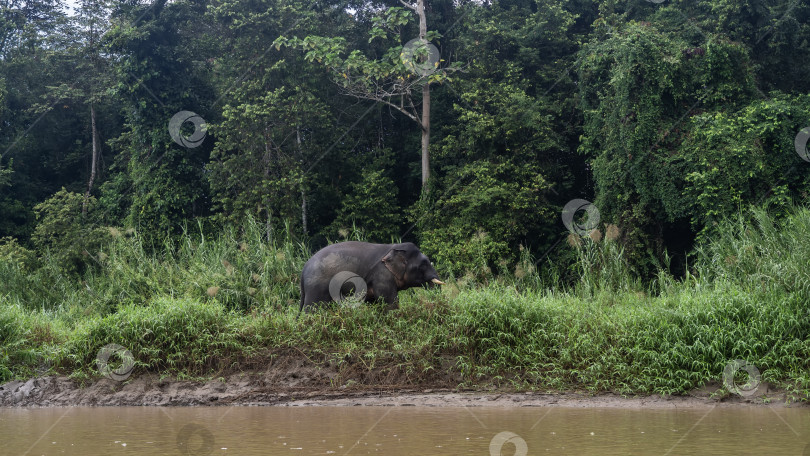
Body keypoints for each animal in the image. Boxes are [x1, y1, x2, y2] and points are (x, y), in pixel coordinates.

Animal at [300, 242, 446, 314]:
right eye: (423, 264)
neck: (393, 247)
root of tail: (304, 268)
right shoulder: (382, 275)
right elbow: (390, 302)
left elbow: (375, 302)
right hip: (317, 287)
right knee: (314, 308)